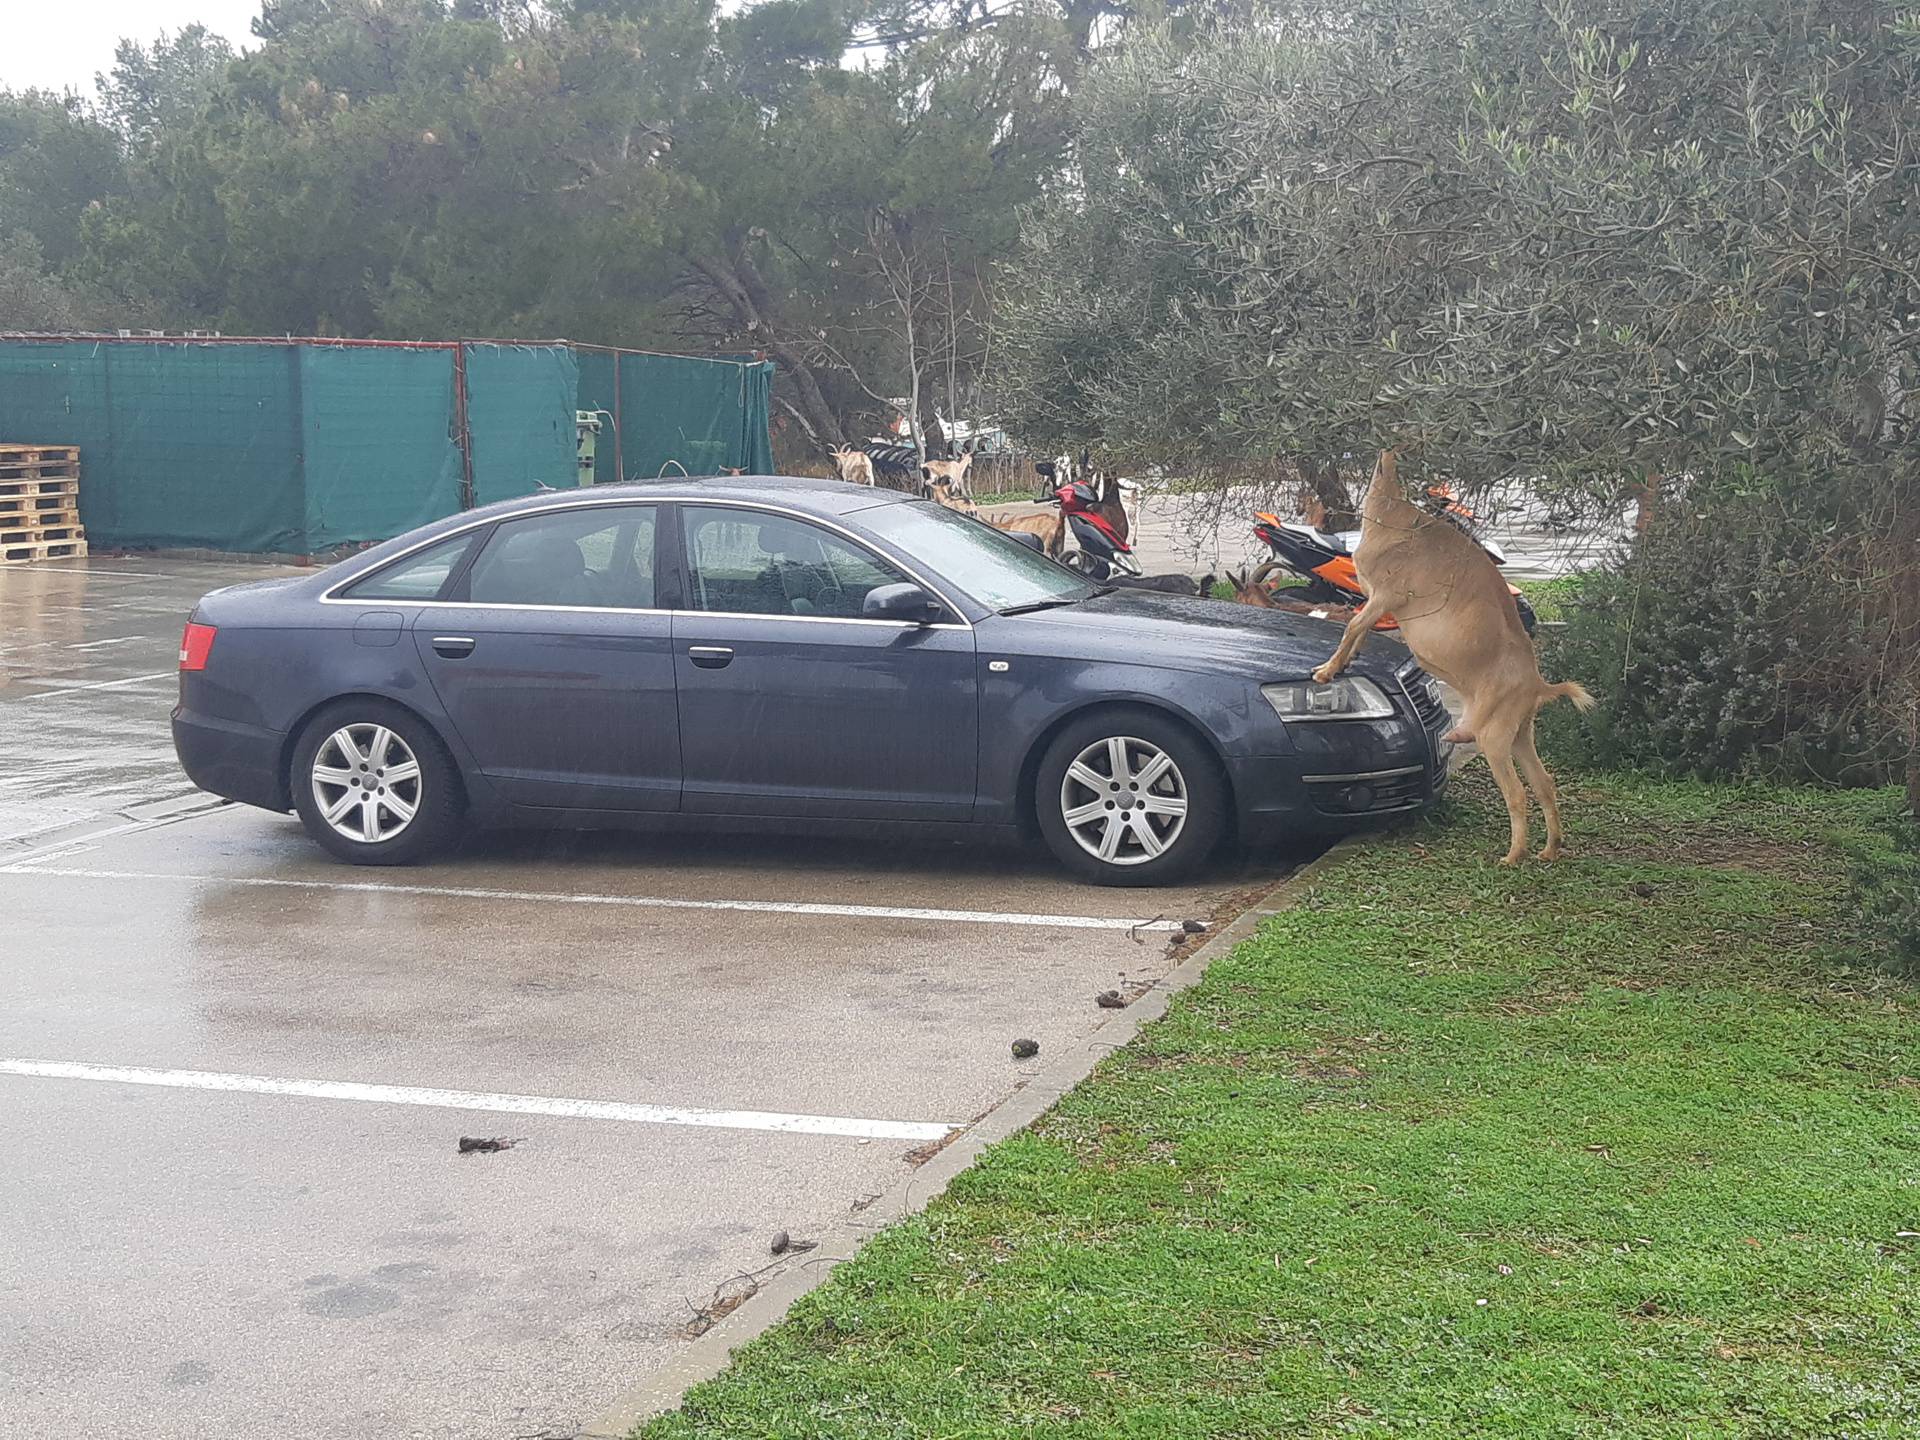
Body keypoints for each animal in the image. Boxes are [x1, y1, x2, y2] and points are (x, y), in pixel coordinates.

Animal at [1313, 451, 1597, 867]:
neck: (1392, 516)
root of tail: (1538, 684)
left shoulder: (1387, 596)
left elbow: (1352, 626)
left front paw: (1325, 672)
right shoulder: (1378, 602)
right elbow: (1359, 631)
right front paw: (1340, 666)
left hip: (1495, 736)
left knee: (1517, 793)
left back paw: (1514, 855)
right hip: (1519, 733)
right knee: (1544, 784)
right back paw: (1549, 849)